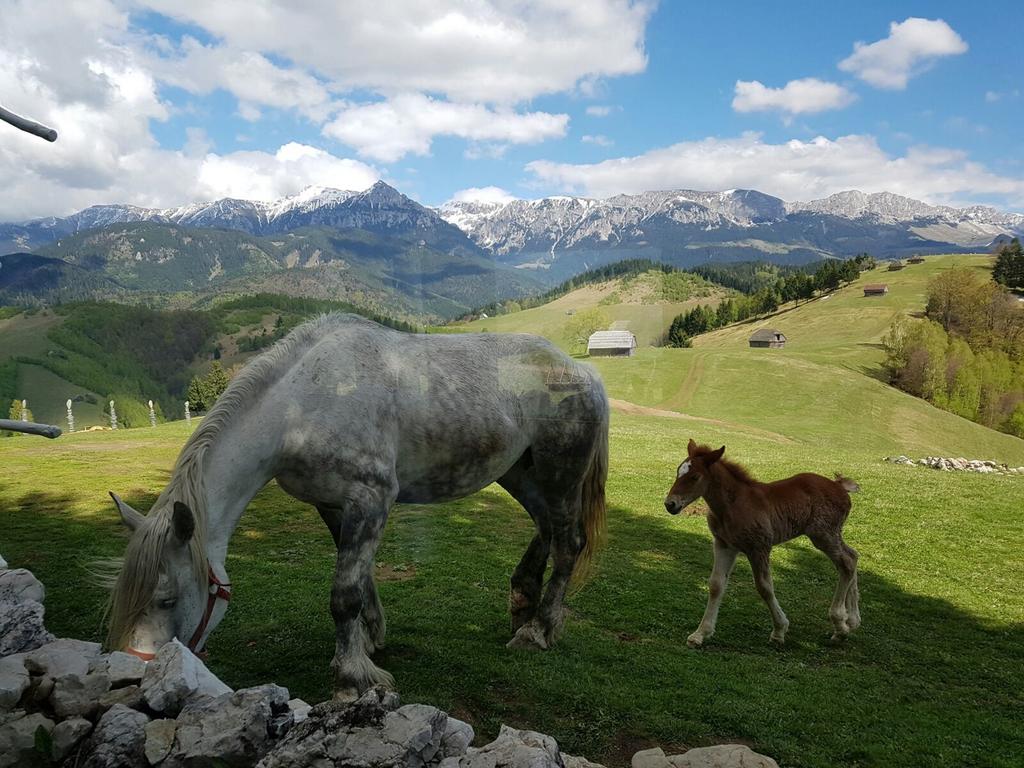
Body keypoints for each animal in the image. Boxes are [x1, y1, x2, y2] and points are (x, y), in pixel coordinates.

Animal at [105, 311, 606, 696]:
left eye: (167, 599)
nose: (138, 673)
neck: (302, 408)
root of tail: (581, 372)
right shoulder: (334, 506)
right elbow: (361, 581)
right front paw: (368, 642)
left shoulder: (371, 499)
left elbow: (344, 592)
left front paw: (353, 675)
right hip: (520, 473)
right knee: (546, 528)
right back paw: (522, 603)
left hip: (560, 475)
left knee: (568, 543)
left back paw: (538, 630)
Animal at [667, 442, 860, 647]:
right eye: (678, 471)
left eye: (695, 476)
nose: (670, 504)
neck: (731, 505)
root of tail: (838, 485)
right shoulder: (724, 545)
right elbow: (716, 585)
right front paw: (700, 634)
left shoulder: (759, 547)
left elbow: (764, 588)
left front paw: (779, 631)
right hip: (831, 535)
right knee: (853, 556)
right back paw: (852, 620)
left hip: (823, 535)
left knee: (846, 563)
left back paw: (840, 625)